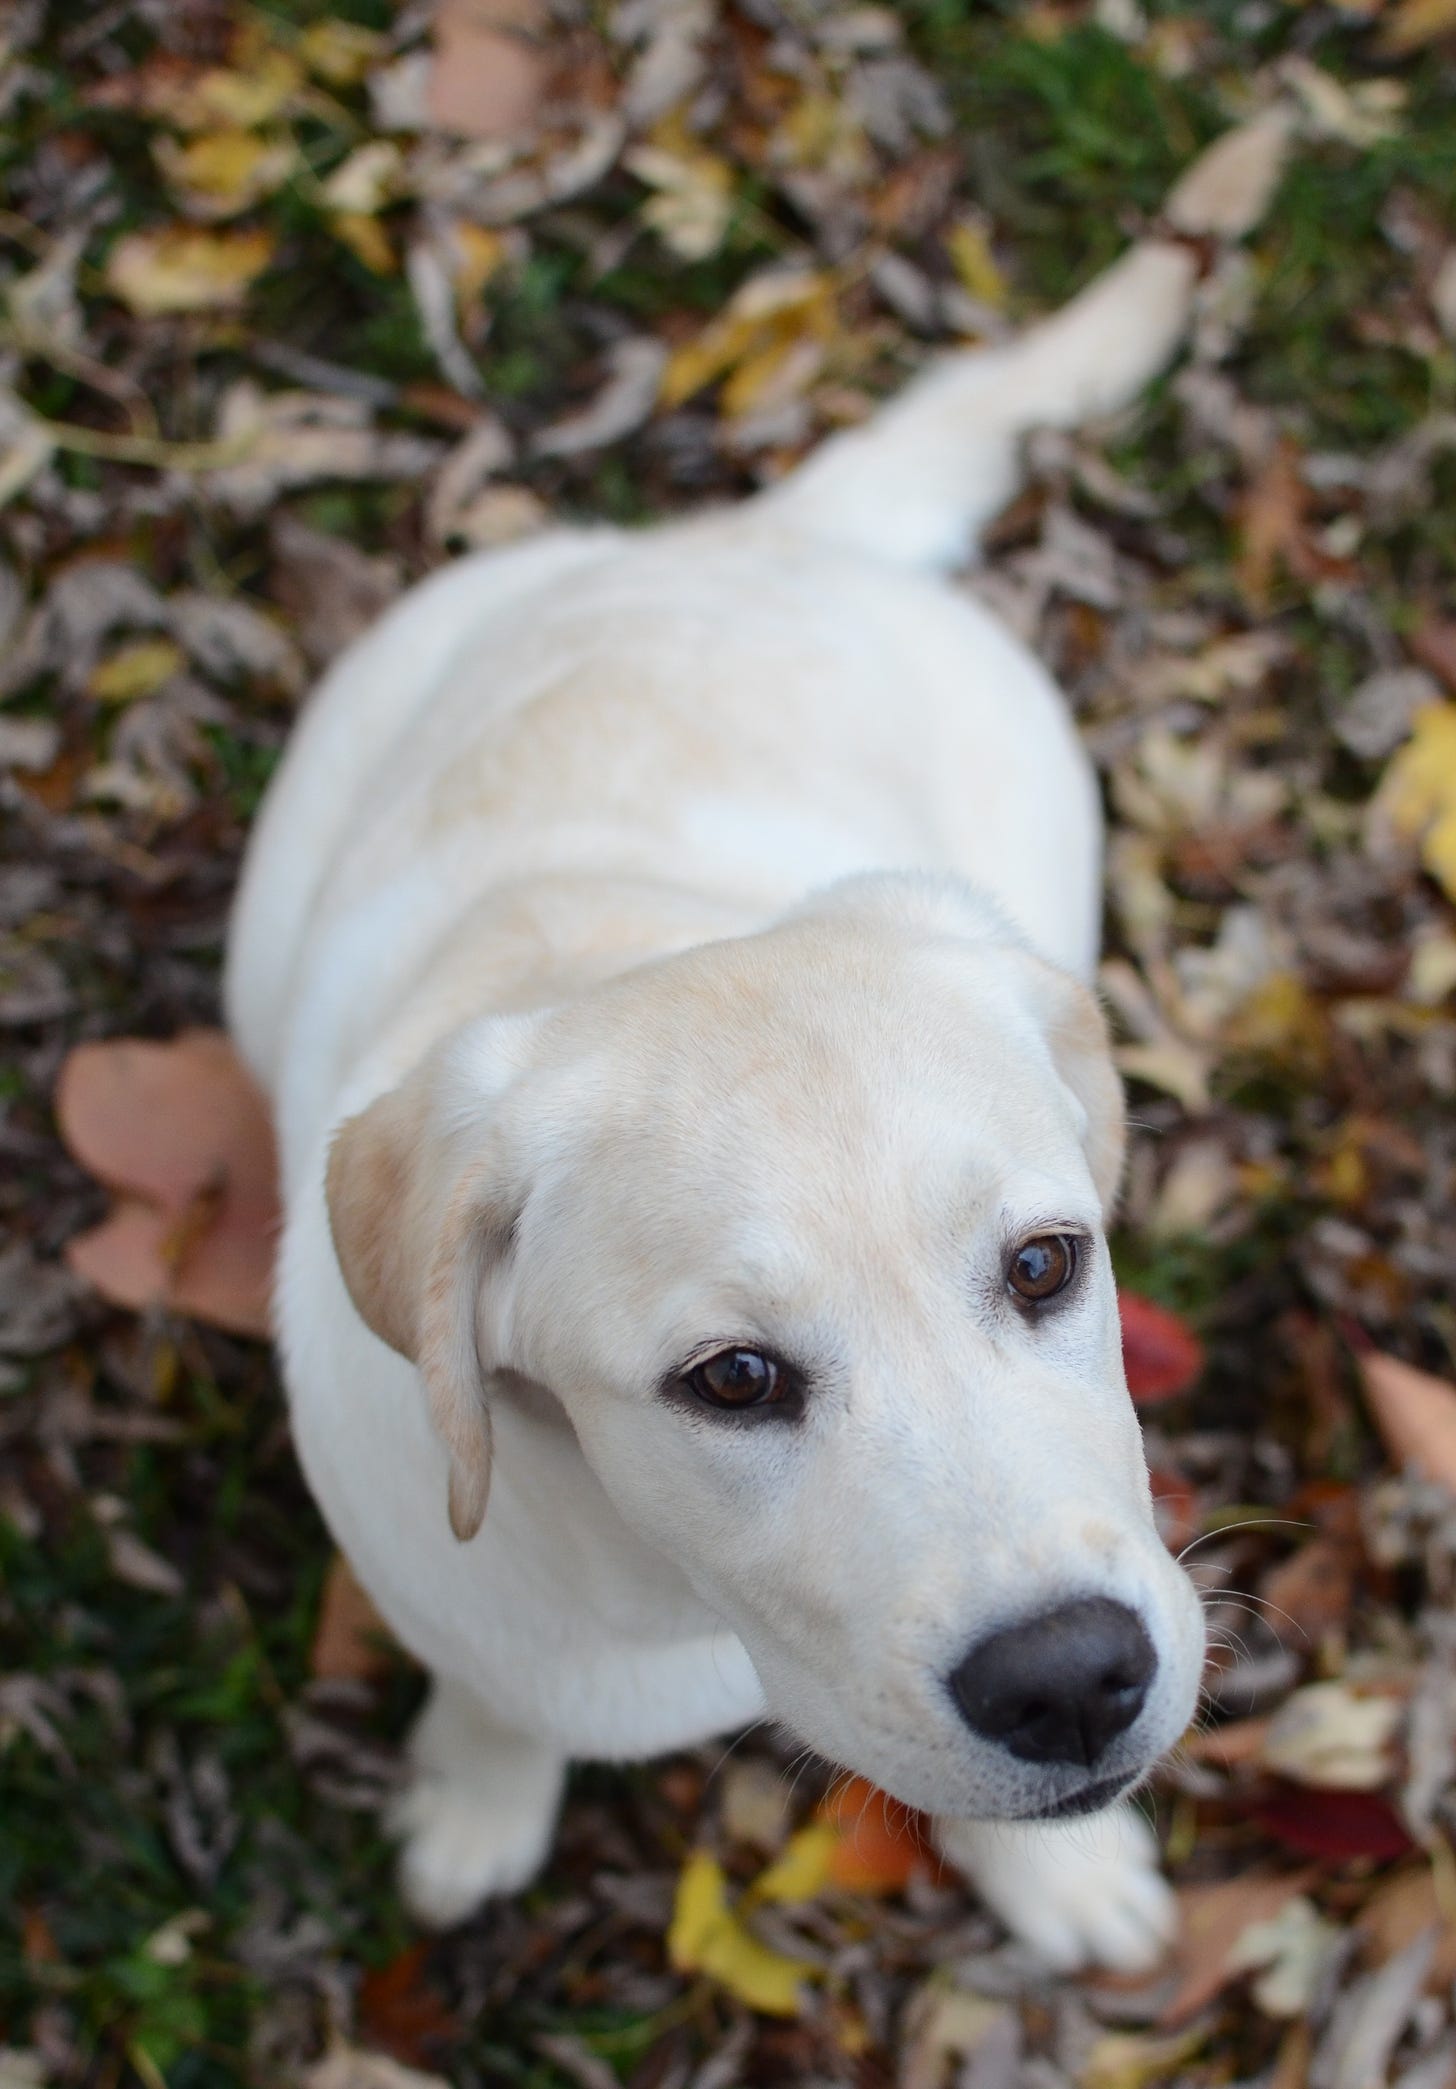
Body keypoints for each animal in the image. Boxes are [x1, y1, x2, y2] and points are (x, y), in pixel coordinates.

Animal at [224, 118, 1286, 1972]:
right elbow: (493, 1691)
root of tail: (749, 537)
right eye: (732, 1380)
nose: (1074, 1678)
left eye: (1045, 1265)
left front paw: (1059, 1868)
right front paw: (478, 1795)